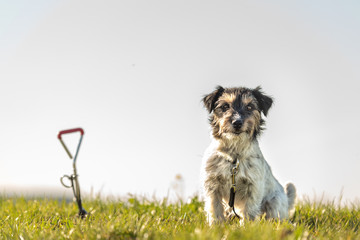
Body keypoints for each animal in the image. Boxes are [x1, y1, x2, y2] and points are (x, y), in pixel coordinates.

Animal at [200, 85, 296, 224]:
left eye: (249, 107)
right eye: (225, 106)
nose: (237, 122)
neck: (234, 155)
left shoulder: (253, 188)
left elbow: (248, 211)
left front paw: (246, 226)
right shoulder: (212, 186)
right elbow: (215, 209)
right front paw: (216, 226)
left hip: (274, 203)